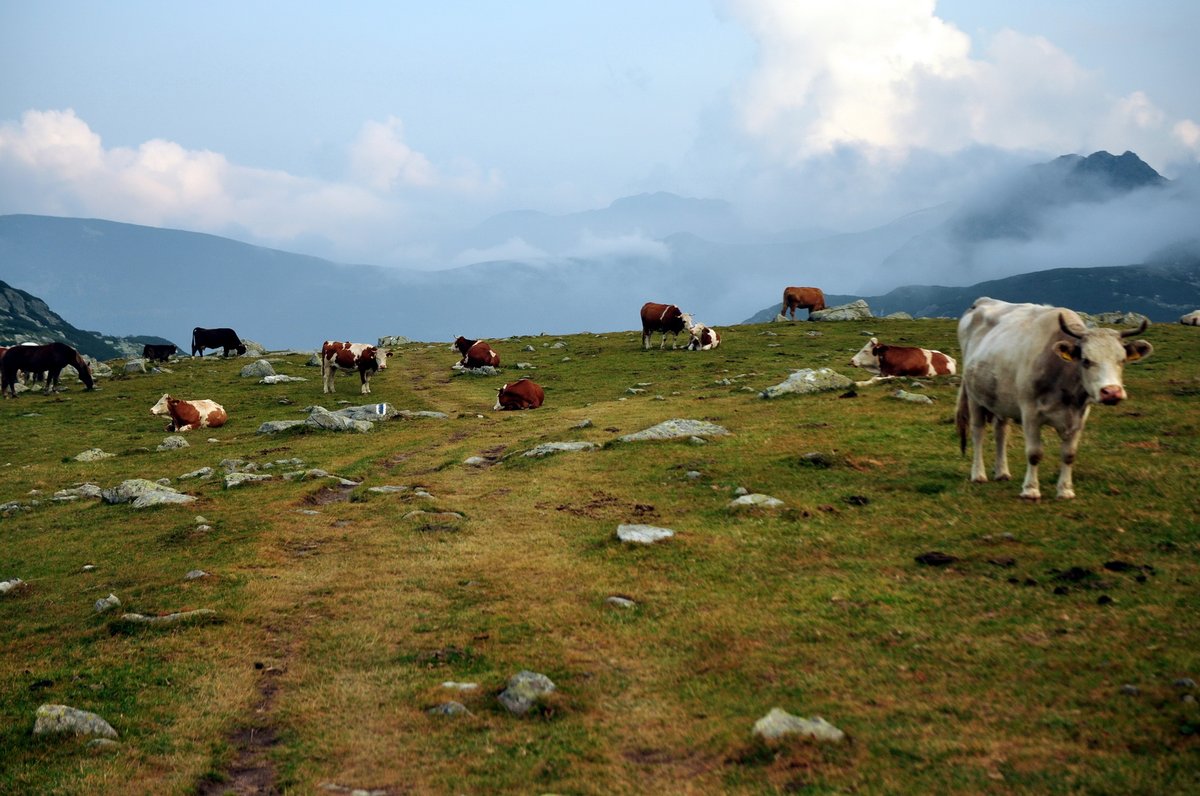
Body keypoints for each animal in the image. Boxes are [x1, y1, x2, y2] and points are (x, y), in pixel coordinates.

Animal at [955, 295, 1152, 501]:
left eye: (1121, 360)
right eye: (1086, 360)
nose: (1112, 392)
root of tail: (981, 302)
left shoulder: (1079, 416)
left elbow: (1069, 454)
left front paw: (1065, 490)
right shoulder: (1030, 413)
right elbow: (1034, 453)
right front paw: (1030, 490)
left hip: (1000, 399)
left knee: (1000, 431)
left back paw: (1002, 472)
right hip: (974, 397)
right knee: (978, 432)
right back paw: (978, 474)